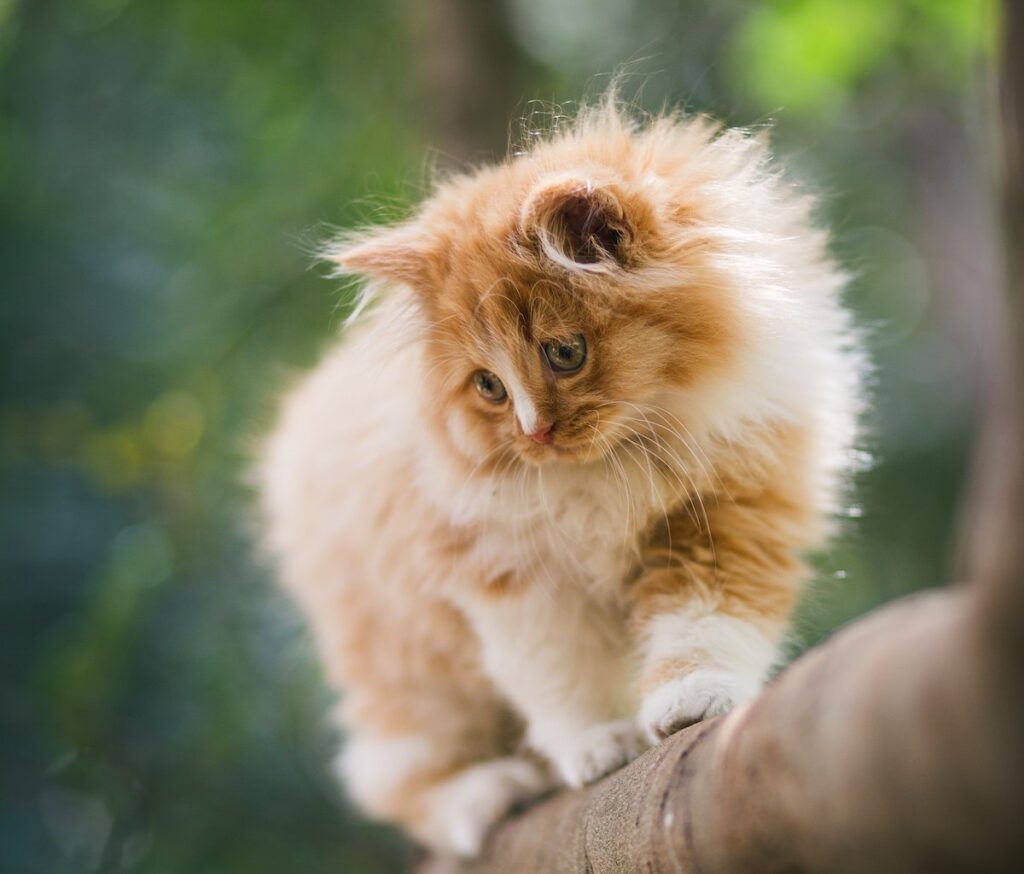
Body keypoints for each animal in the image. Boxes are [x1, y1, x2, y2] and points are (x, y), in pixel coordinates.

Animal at [256, 99, 864, 859]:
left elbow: (701, 624)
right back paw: (487, 793)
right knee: (395, 779)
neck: (610, 470)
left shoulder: (725, 515)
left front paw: (687, 699)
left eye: (564, 353)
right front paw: (599, 744)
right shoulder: (511, 577)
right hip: (411, 675)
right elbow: (561, 673)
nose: (533, 433)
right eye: (488, 387)